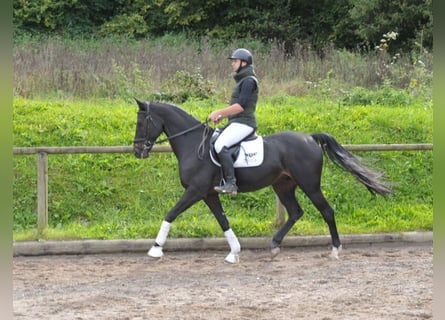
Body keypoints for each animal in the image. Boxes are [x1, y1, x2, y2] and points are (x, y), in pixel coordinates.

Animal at [132, 99, 392, 262]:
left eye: (141, 122)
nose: (137, 151)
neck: (194, 144)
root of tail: (309, 138)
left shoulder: (195, 191)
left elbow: (171, 213)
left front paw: (155, 249)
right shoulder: (209, 194)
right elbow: (223, 222)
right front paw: (234, 252)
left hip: (309, 184)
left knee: (327, 211)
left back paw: (335, 250)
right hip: (283, 185)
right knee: (296, 212)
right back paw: (275, 245)